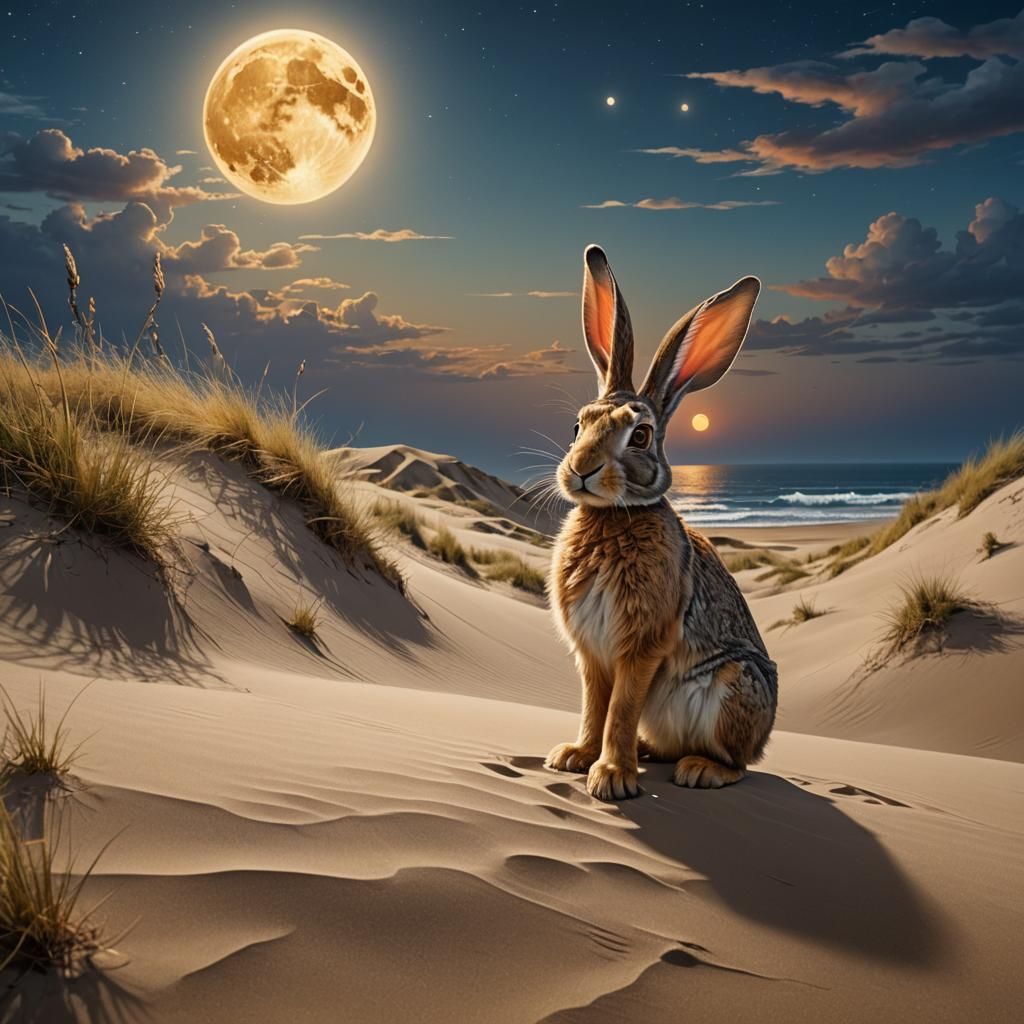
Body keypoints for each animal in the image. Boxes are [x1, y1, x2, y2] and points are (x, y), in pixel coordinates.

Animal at [545, 245, 777, 801]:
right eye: (578, 425)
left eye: (642, 436)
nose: (581, 468)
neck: (614, 517)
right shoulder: (592, 654)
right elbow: (595, 705)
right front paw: (575, 756)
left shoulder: (641, 645)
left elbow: (621, 707)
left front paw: (610, 778)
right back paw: (649, 753)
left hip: (735, 686)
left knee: (738, 763)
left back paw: (700, 770)